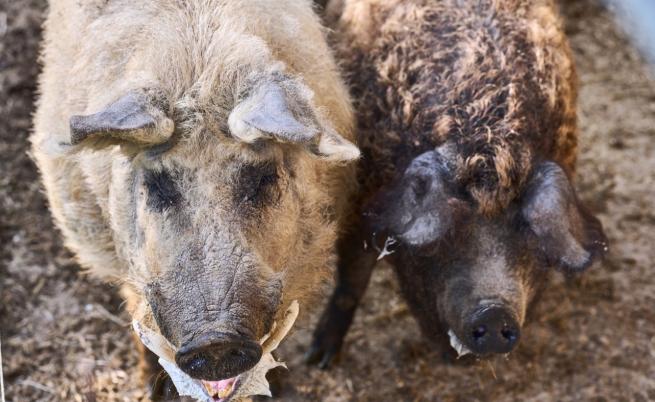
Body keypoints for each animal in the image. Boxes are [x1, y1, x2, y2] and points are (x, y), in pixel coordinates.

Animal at [308, 0, 608, 368]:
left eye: (533, 240)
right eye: (446, 234)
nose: (494, 313)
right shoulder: (361, 201)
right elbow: (351, 281)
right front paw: (318, 360)